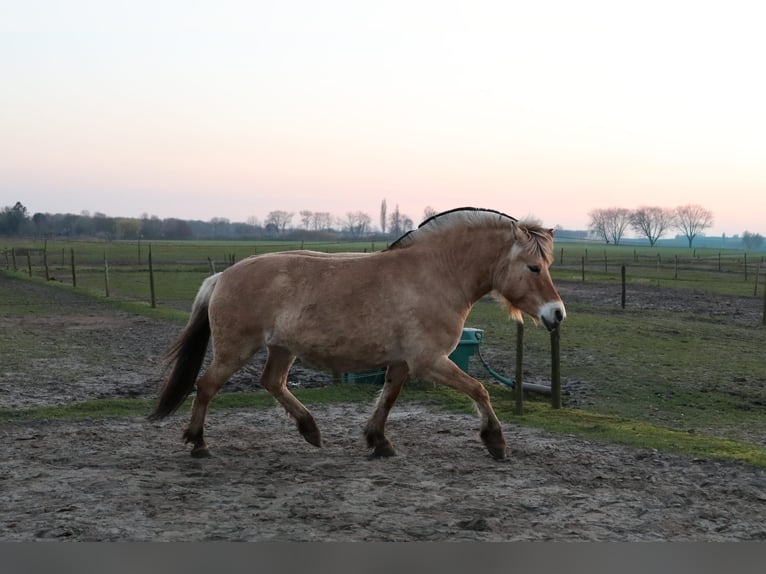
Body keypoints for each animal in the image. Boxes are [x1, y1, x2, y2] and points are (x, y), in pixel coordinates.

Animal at [149, 207, 566, 460]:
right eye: (533, 267)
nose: (557, 313)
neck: (435, 275)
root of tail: (222, 276)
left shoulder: (403, 362)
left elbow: (388, 398)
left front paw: (378, 441)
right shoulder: (430, 361)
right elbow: (479, 390)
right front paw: (496, 441)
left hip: (282, 348)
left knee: (272, 382)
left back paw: (310, 430)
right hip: (235, 349)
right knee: (206, 386)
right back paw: (198, 443)